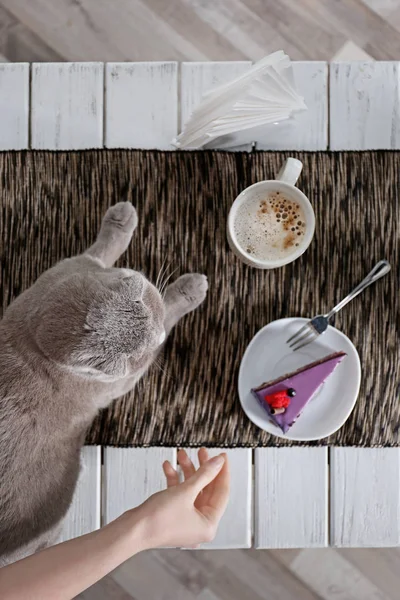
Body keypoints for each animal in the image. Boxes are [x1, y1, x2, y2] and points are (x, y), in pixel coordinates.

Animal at [0, 203, 206, 568]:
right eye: (139, 353)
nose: (159, 340)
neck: (35, 340)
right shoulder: (123, 382)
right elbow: (169, 308)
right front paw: (190, 289)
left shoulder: (69, 267)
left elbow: (99, 251)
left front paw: (121, 217)